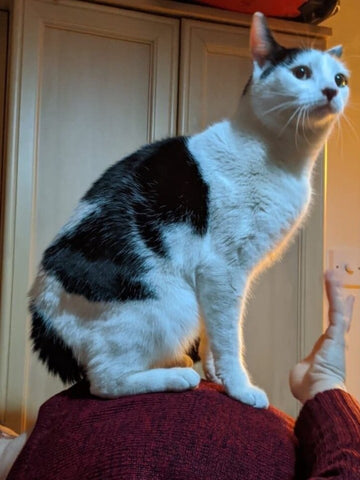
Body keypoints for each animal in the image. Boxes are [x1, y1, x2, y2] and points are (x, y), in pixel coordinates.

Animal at [28, 12, 348, 408]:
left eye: (340, 78)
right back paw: (175, 375)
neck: (285, 159)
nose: (331, 91)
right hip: (174, 303)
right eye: (301, 72)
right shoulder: (223, 269)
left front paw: (216, 374)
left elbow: (214, 335)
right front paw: (240, 388)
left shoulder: (225, 280)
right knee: (104, 382)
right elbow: (230, 337)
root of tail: (41, 316)